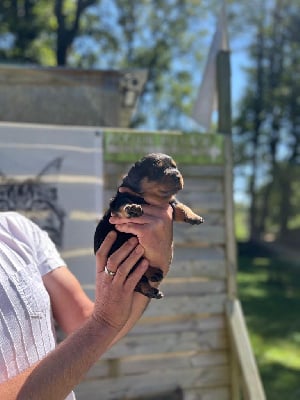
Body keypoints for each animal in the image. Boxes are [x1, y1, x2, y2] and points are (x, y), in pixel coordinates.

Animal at [94, 152, 204, 298]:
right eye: (157, 170)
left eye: (175, 167)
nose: (177, 175)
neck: (152, 197)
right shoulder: (118, 200)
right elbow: (124, 204)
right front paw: (132, 209)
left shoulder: (170, 203)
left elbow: (181, 206)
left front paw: (194, 216)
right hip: (118, 248)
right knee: (137, 267)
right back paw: (152, 274)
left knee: (139, 280)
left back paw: (152, 289)